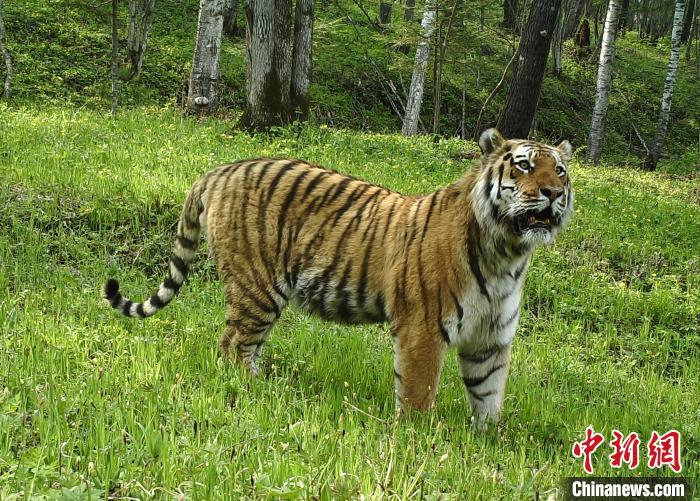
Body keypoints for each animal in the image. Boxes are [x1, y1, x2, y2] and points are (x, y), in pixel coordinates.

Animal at [104, 128, 574, 428]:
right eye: (524, 166)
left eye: (560, 171)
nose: (552, 193)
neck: (507, 254)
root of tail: (220, 170)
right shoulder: (423, 328)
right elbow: (419, 391)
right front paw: (416, 438)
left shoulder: (491, 337)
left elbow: (488, 394)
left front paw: (488, 440)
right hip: (257, 289)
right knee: (233, 346)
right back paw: (259, 391)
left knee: (241, 346)